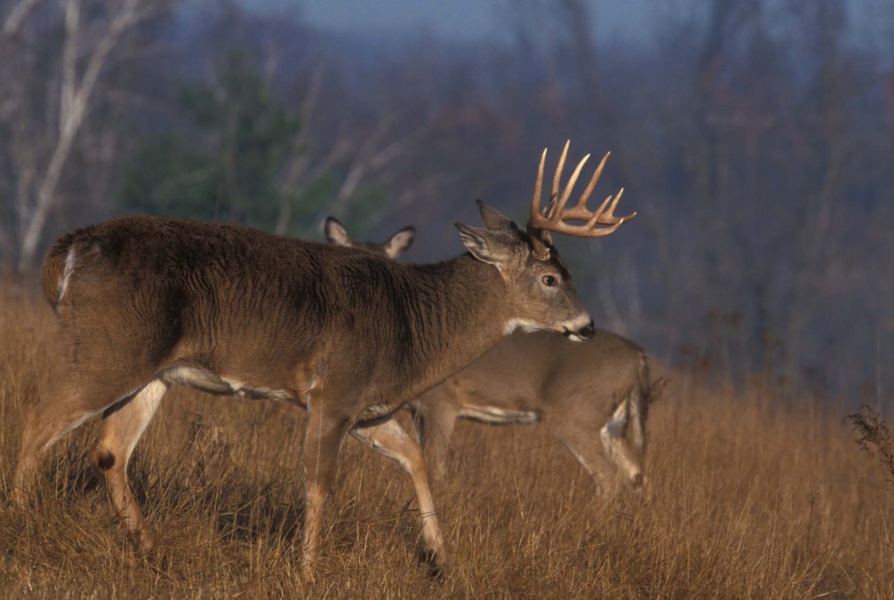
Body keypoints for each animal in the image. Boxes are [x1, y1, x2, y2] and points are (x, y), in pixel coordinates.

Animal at [325, 219, 660, 491]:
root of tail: (640, 357)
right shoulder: (419, 409)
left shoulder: (442, 400)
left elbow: (437, 467)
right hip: (610, 422)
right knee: (634, 472)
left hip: (576, 412)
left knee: (609, 476)